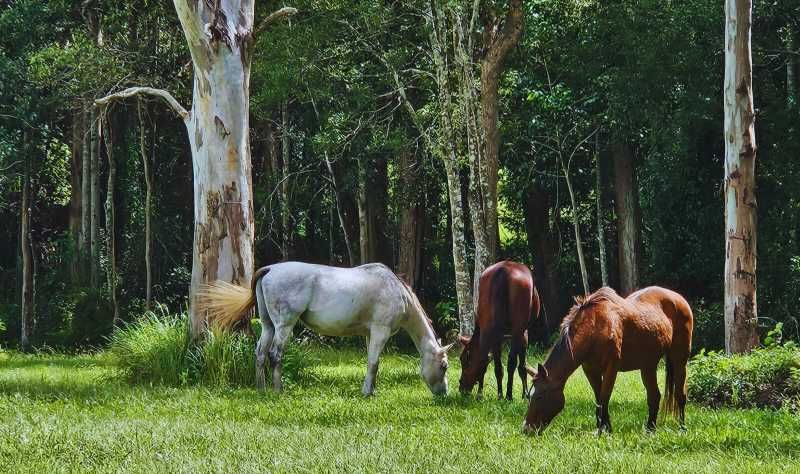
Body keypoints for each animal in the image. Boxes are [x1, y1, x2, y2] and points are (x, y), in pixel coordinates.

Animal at [197, 262, 455, 396]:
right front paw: (367, 393)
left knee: (260, 354)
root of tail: (270, 269)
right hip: (284, 326)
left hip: (269, 326)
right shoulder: (380, 332)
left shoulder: (369, 334)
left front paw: (371, 389)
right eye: (444, 366)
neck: (396, 291)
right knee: (275, 355)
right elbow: (374, 363)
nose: (443, 393)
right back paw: (278, 390)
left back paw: (262, 389)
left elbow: (371, 363)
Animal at [458, 260, 540, 400]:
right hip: (517, 327)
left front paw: (502, 394)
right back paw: (508, 395)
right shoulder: (523, 332)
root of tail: (503, 271)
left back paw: (497, 395)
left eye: (465, 361)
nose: (461, 387)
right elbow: (522, 365)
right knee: (511, 361)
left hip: (497, 329)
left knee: (495, 362)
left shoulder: (501, 335)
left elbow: (498, 365)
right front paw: (524, 394)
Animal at [523, 286, 693, 434]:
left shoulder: (611, 368)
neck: (595, 327)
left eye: (539, 396)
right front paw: (603, 427)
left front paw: (603, 431)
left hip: (679, 359)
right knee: (654, 396)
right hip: (648, 366)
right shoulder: (590, 370)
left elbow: (605, 397)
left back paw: (682, 428)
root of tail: (679, 299)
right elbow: (598, 398)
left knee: (680, 395)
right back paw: (650, 430)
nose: (526, 429)